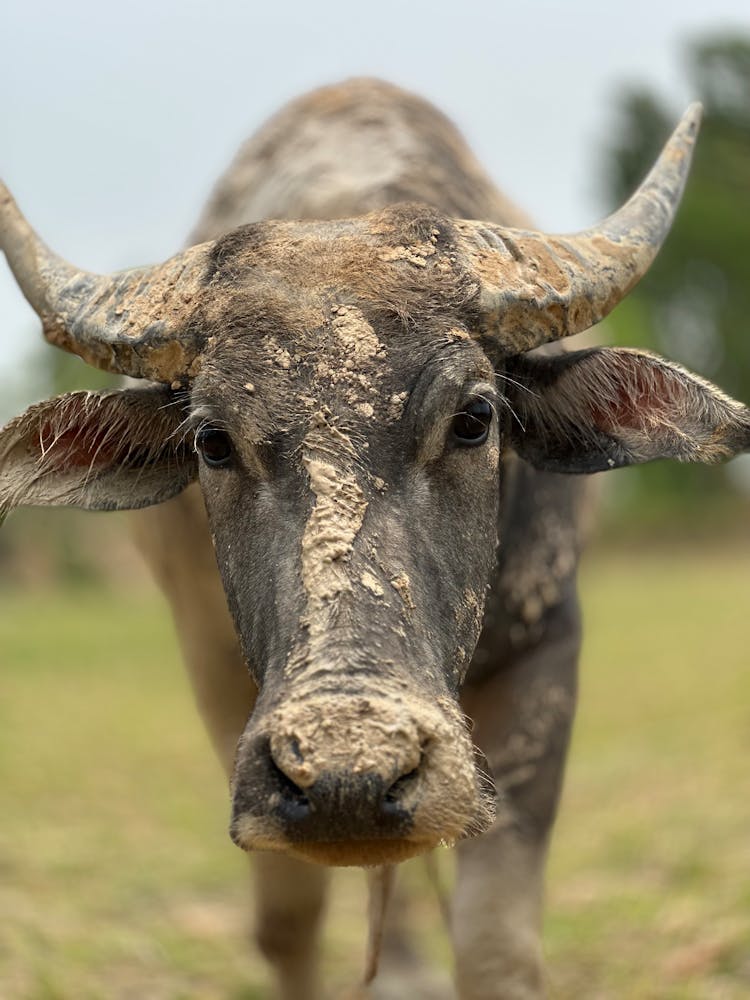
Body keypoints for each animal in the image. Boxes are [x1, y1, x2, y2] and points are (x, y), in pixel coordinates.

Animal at [1, 82, 750, 996]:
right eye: (212, 440)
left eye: (475, 417)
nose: (347, 773)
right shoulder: (218, 680)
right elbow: (286, 922)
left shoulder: (546, 656)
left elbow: (495, 941)